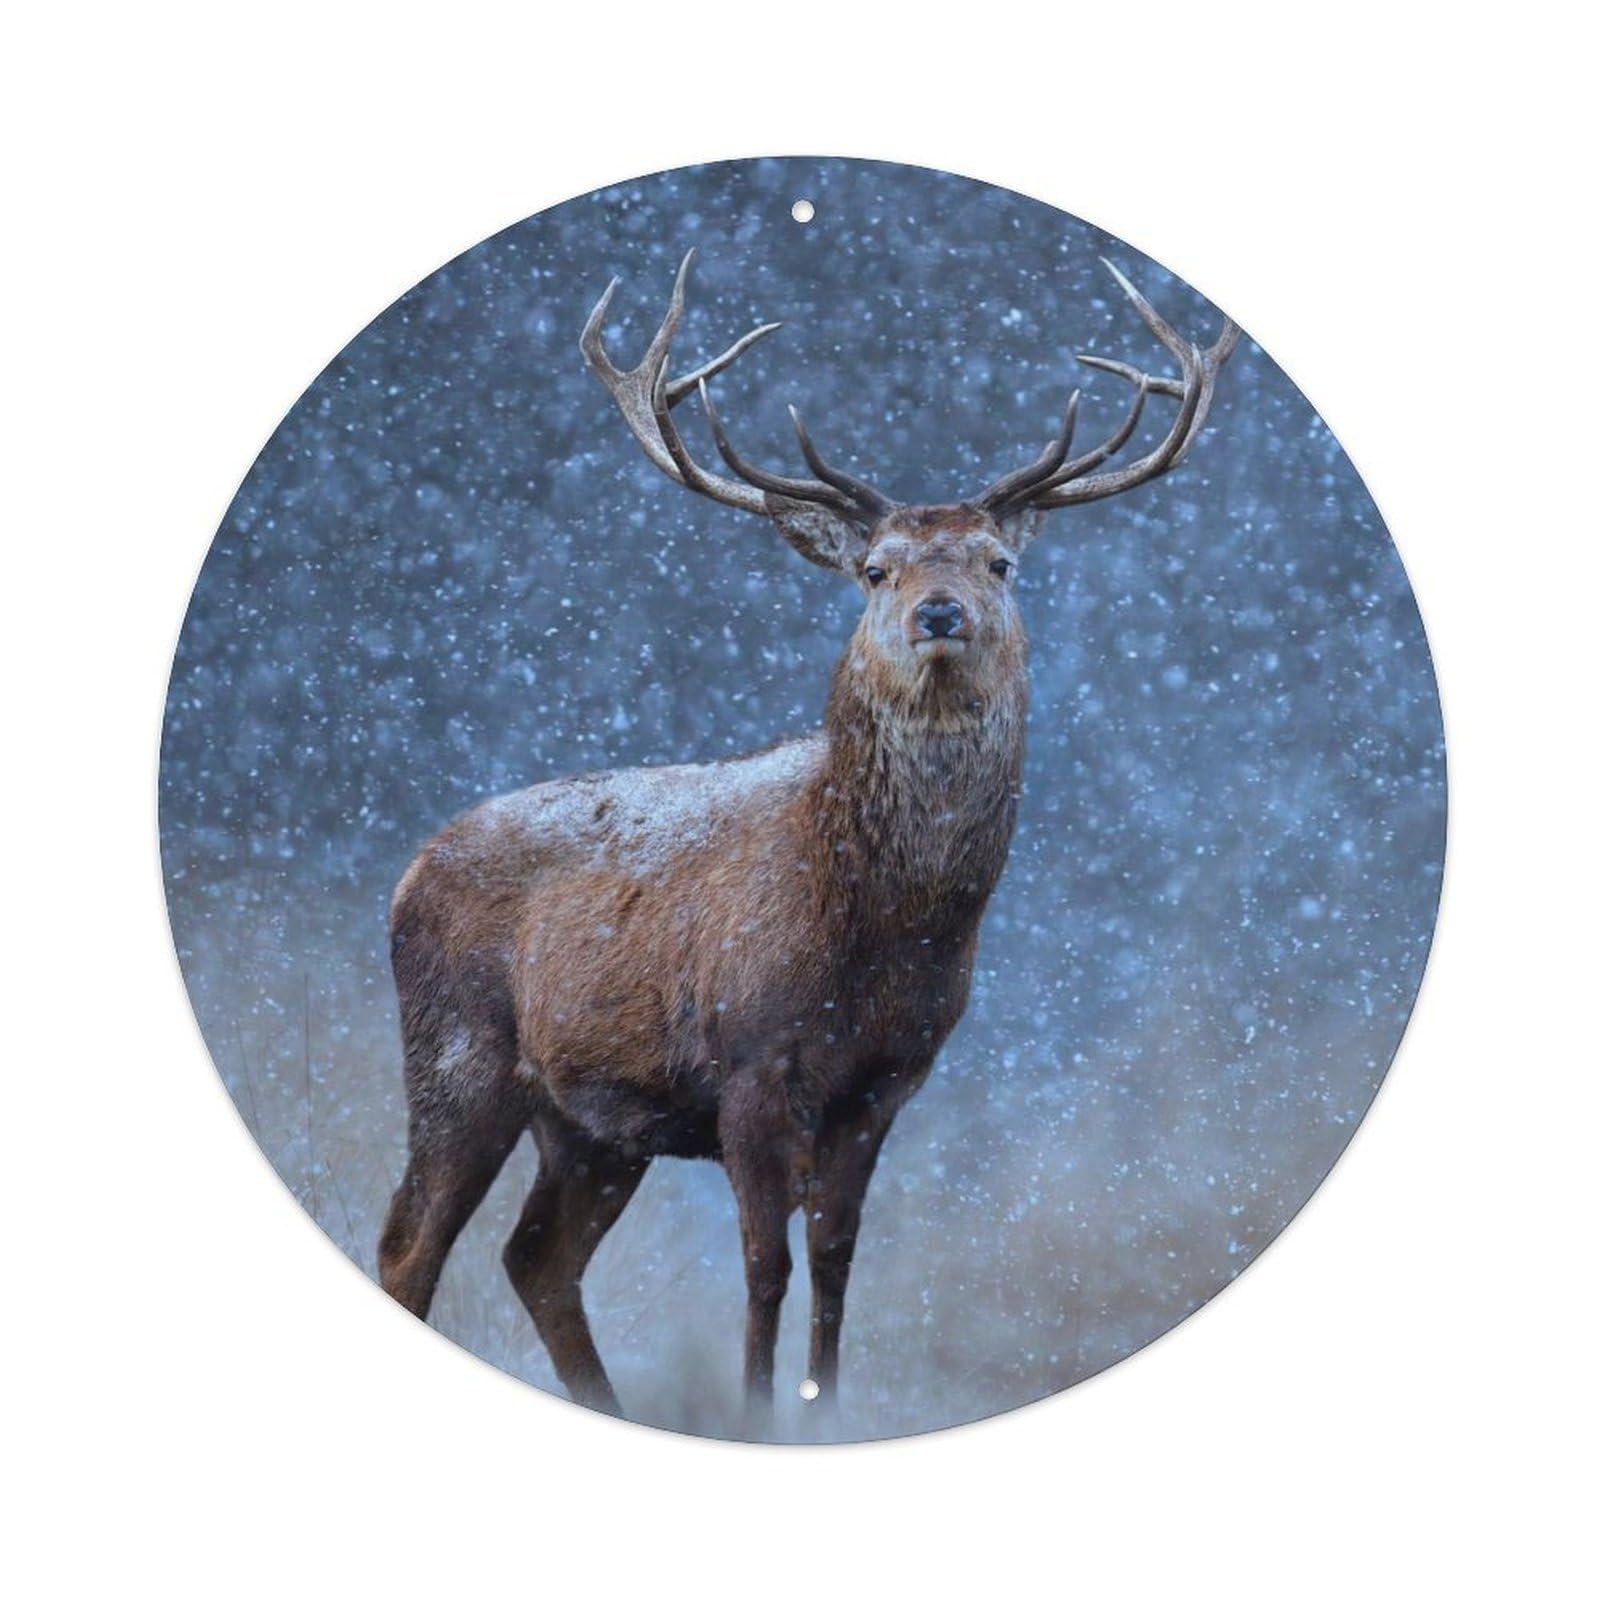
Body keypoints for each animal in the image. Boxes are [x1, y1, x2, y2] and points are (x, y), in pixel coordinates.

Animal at [377, 248, 1238, 1427]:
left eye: (997, 564)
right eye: (875, 567)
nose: (937, 613)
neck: (878, 934)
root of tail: (407, 870)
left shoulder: (885, 1081)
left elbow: (834, 1261)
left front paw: (821, 1416)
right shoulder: (747, 1060)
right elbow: (762, 1264)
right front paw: (754, 1416)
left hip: (591, 1122)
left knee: (536, 1257)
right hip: (457, 1051)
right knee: (410, 1245)